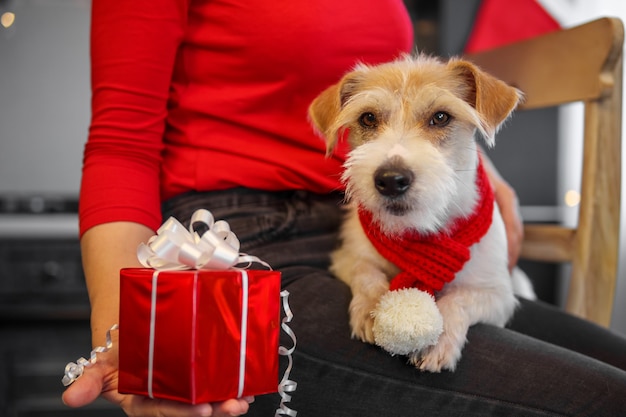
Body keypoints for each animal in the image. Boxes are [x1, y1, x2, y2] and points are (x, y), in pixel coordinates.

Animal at [308, 54, 528, 370]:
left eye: (441, 117)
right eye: (368, 118)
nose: (390, 180)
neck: (419, 231)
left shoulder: (498, 296)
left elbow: (458, 299)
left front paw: (439, 338)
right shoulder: (346, 259)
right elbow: (366, 272)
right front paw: (372, 308)